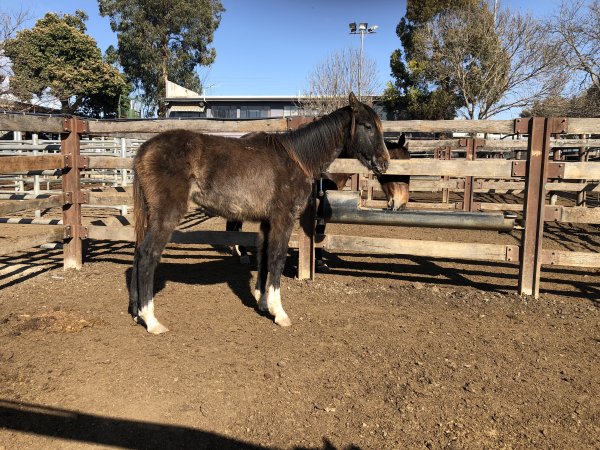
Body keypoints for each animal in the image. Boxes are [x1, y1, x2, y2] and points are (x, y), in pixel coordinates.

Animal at [129, 93, 390, 332]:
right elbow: (277, 258)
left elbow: (264, 256)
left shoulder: (267, 222)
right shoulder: (283, 219)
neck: (297, 158)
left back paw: (137, 311)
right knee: (148, 254)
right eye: (367, 126)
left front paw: (263, 303)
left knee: (138, 252)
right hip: (166, 215)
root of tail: (144, 149)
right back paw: (151, 320)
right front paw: (279, 312)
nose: (384, 162)